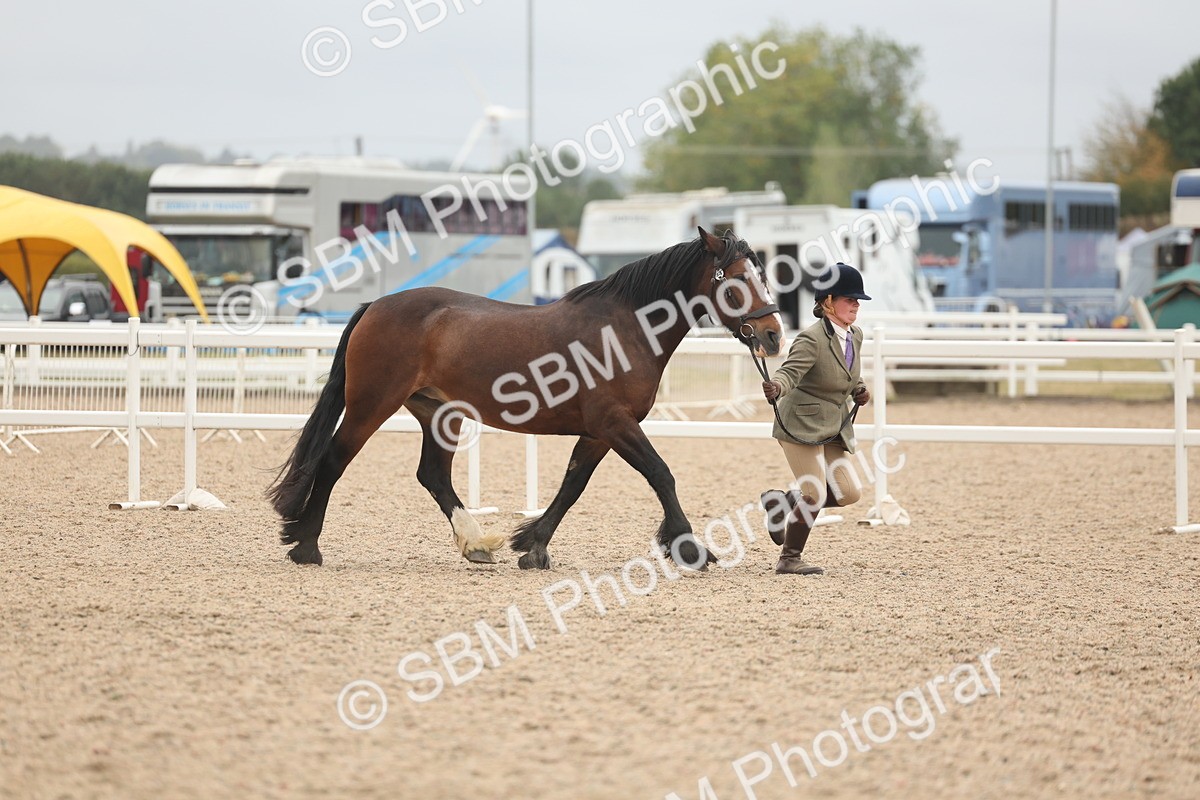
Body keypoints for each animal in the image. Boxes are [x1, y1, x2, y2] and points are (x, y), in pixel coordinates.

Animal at [266, 227, 785, 570]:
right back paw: (307, 547)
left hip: (439, 413)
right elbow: (661, 475)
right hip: (371, 405)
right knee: (334, 461)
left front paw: (532, 545)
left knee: (433, 476)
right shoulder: (615, 423)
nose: (773, 335)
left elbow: (572, 486)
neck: (624, 329)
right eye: (736, 280)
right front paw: (690, 548)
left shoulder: (599, 432)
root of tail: (375, 305)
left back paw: (476, 545)